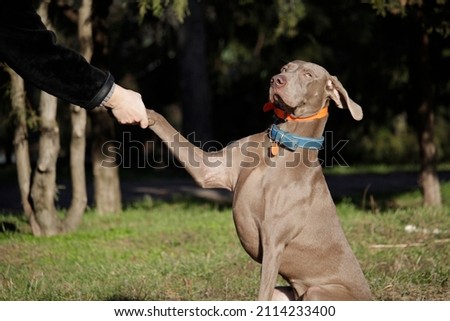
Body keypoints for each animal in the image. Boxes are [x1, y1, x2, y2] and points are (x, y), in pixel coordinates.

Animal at [146, 60, 370, 300]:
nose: (276, 80)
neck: (281, 145)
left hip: (317, 292)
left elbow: (262, 292)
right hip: (284, 294)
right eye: (284, 69)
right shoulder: (209, 170)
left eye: (308, 75)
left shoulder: (274, 242)